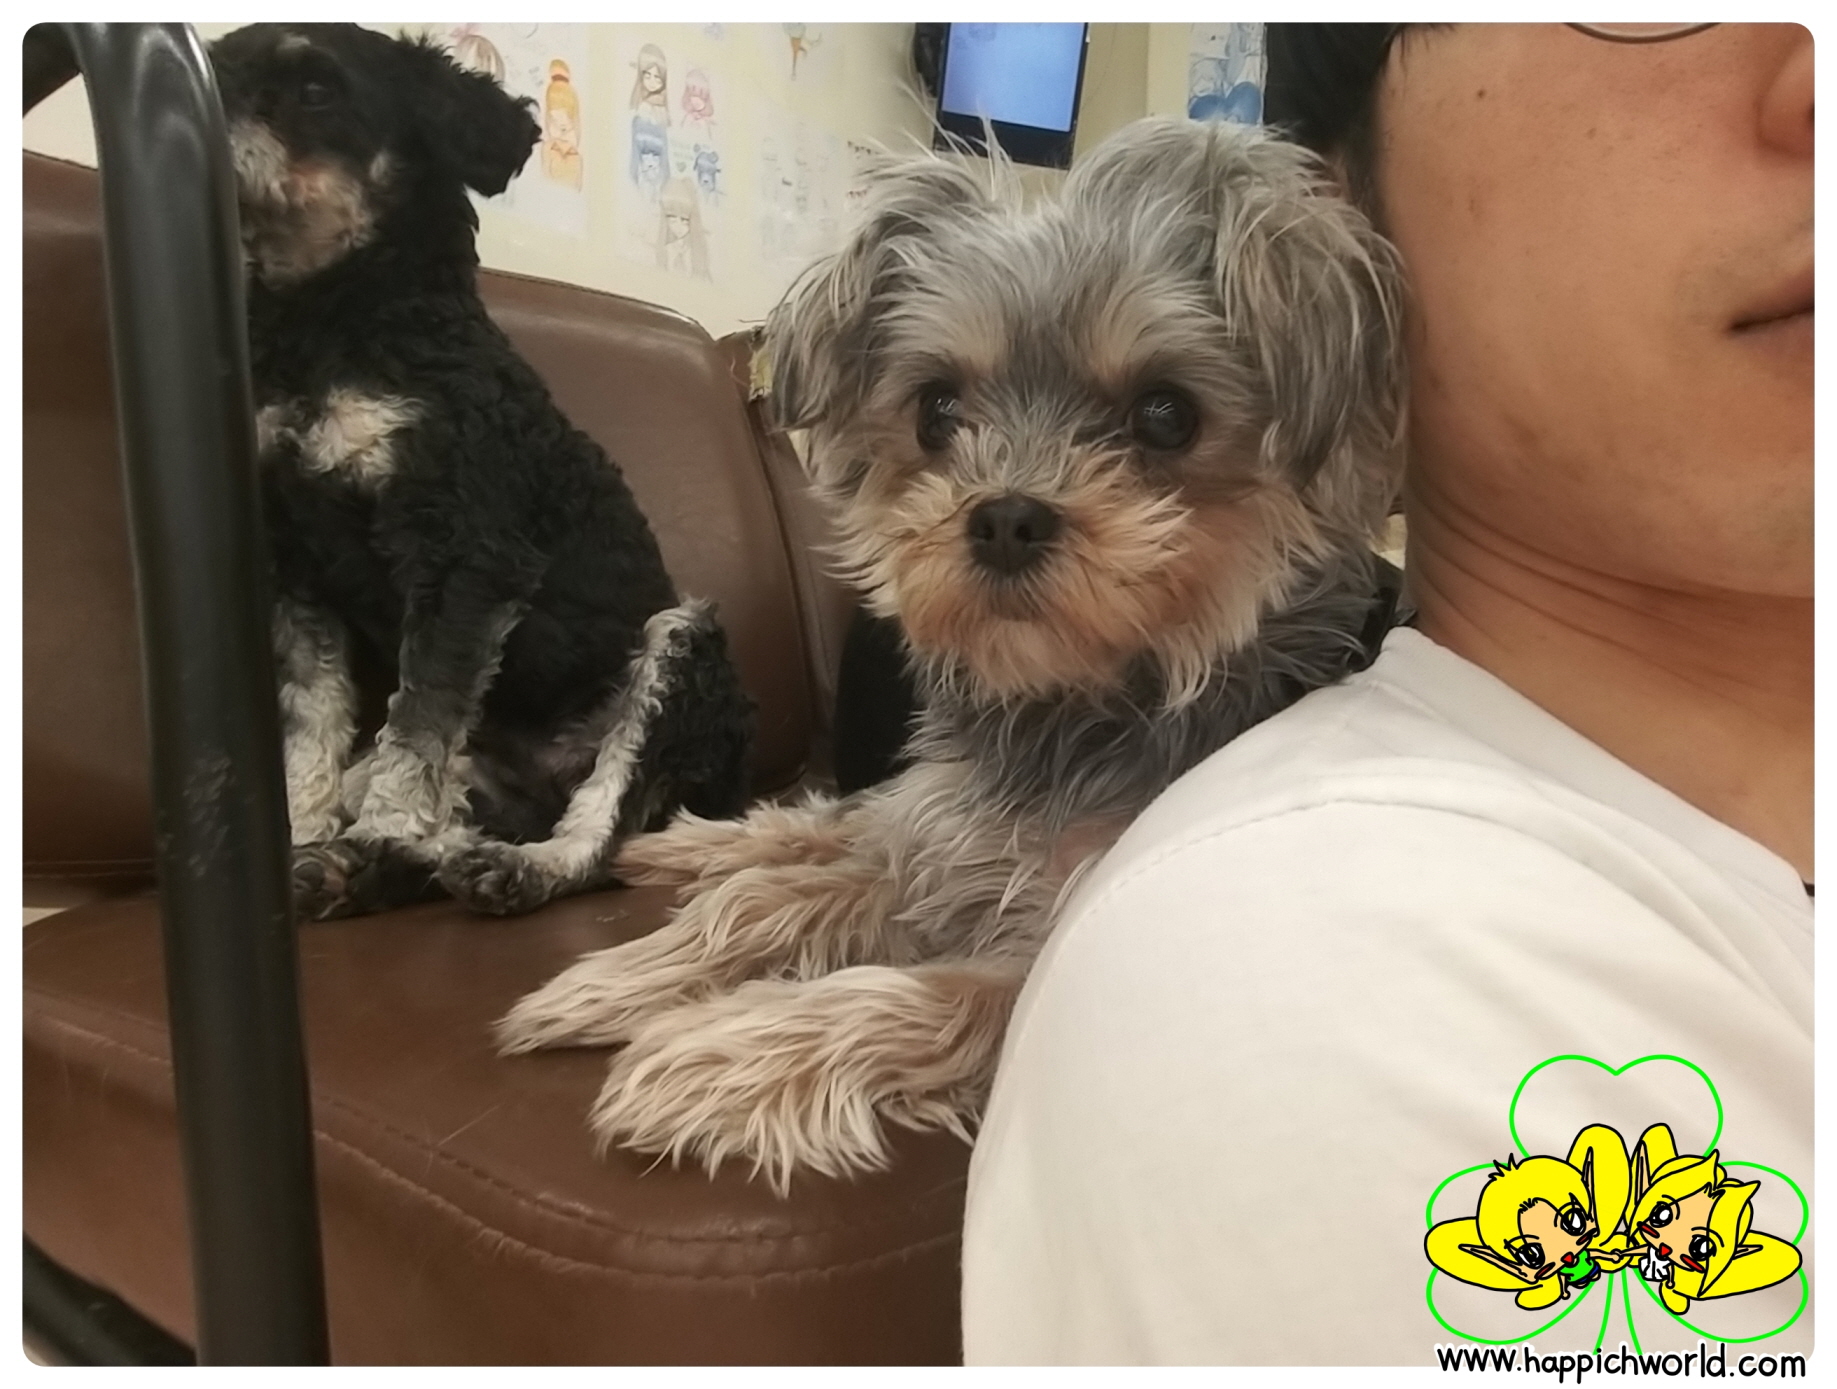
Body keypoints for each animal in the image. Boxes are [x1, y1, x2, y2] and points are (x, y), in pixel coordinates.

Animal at [210, 23, 753, 920]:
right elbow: (314, 721)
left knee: (604, 830)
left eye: (317, 89)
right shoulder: (295, 570)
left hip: (680, 652)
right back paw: (360, 867)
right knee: (447, 822)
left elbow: (421, 719)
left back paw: (508, 866)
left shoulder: (464, 555)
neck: (334, 327)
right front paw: (305, 835)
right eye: (215, 66)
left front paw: (379, 831)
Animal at [498, 117, 1407, 1191]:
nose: (1005, 516)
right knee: (841, 819)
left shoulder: (1041, 957)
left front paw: (715, 1052)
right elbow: (768, 902)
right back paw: (695, 843)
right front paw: (629, 976)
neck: (1083, 702)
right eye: (936, 409)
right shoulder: (950, 851)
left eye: (1165, 414)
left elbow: (909, 992)